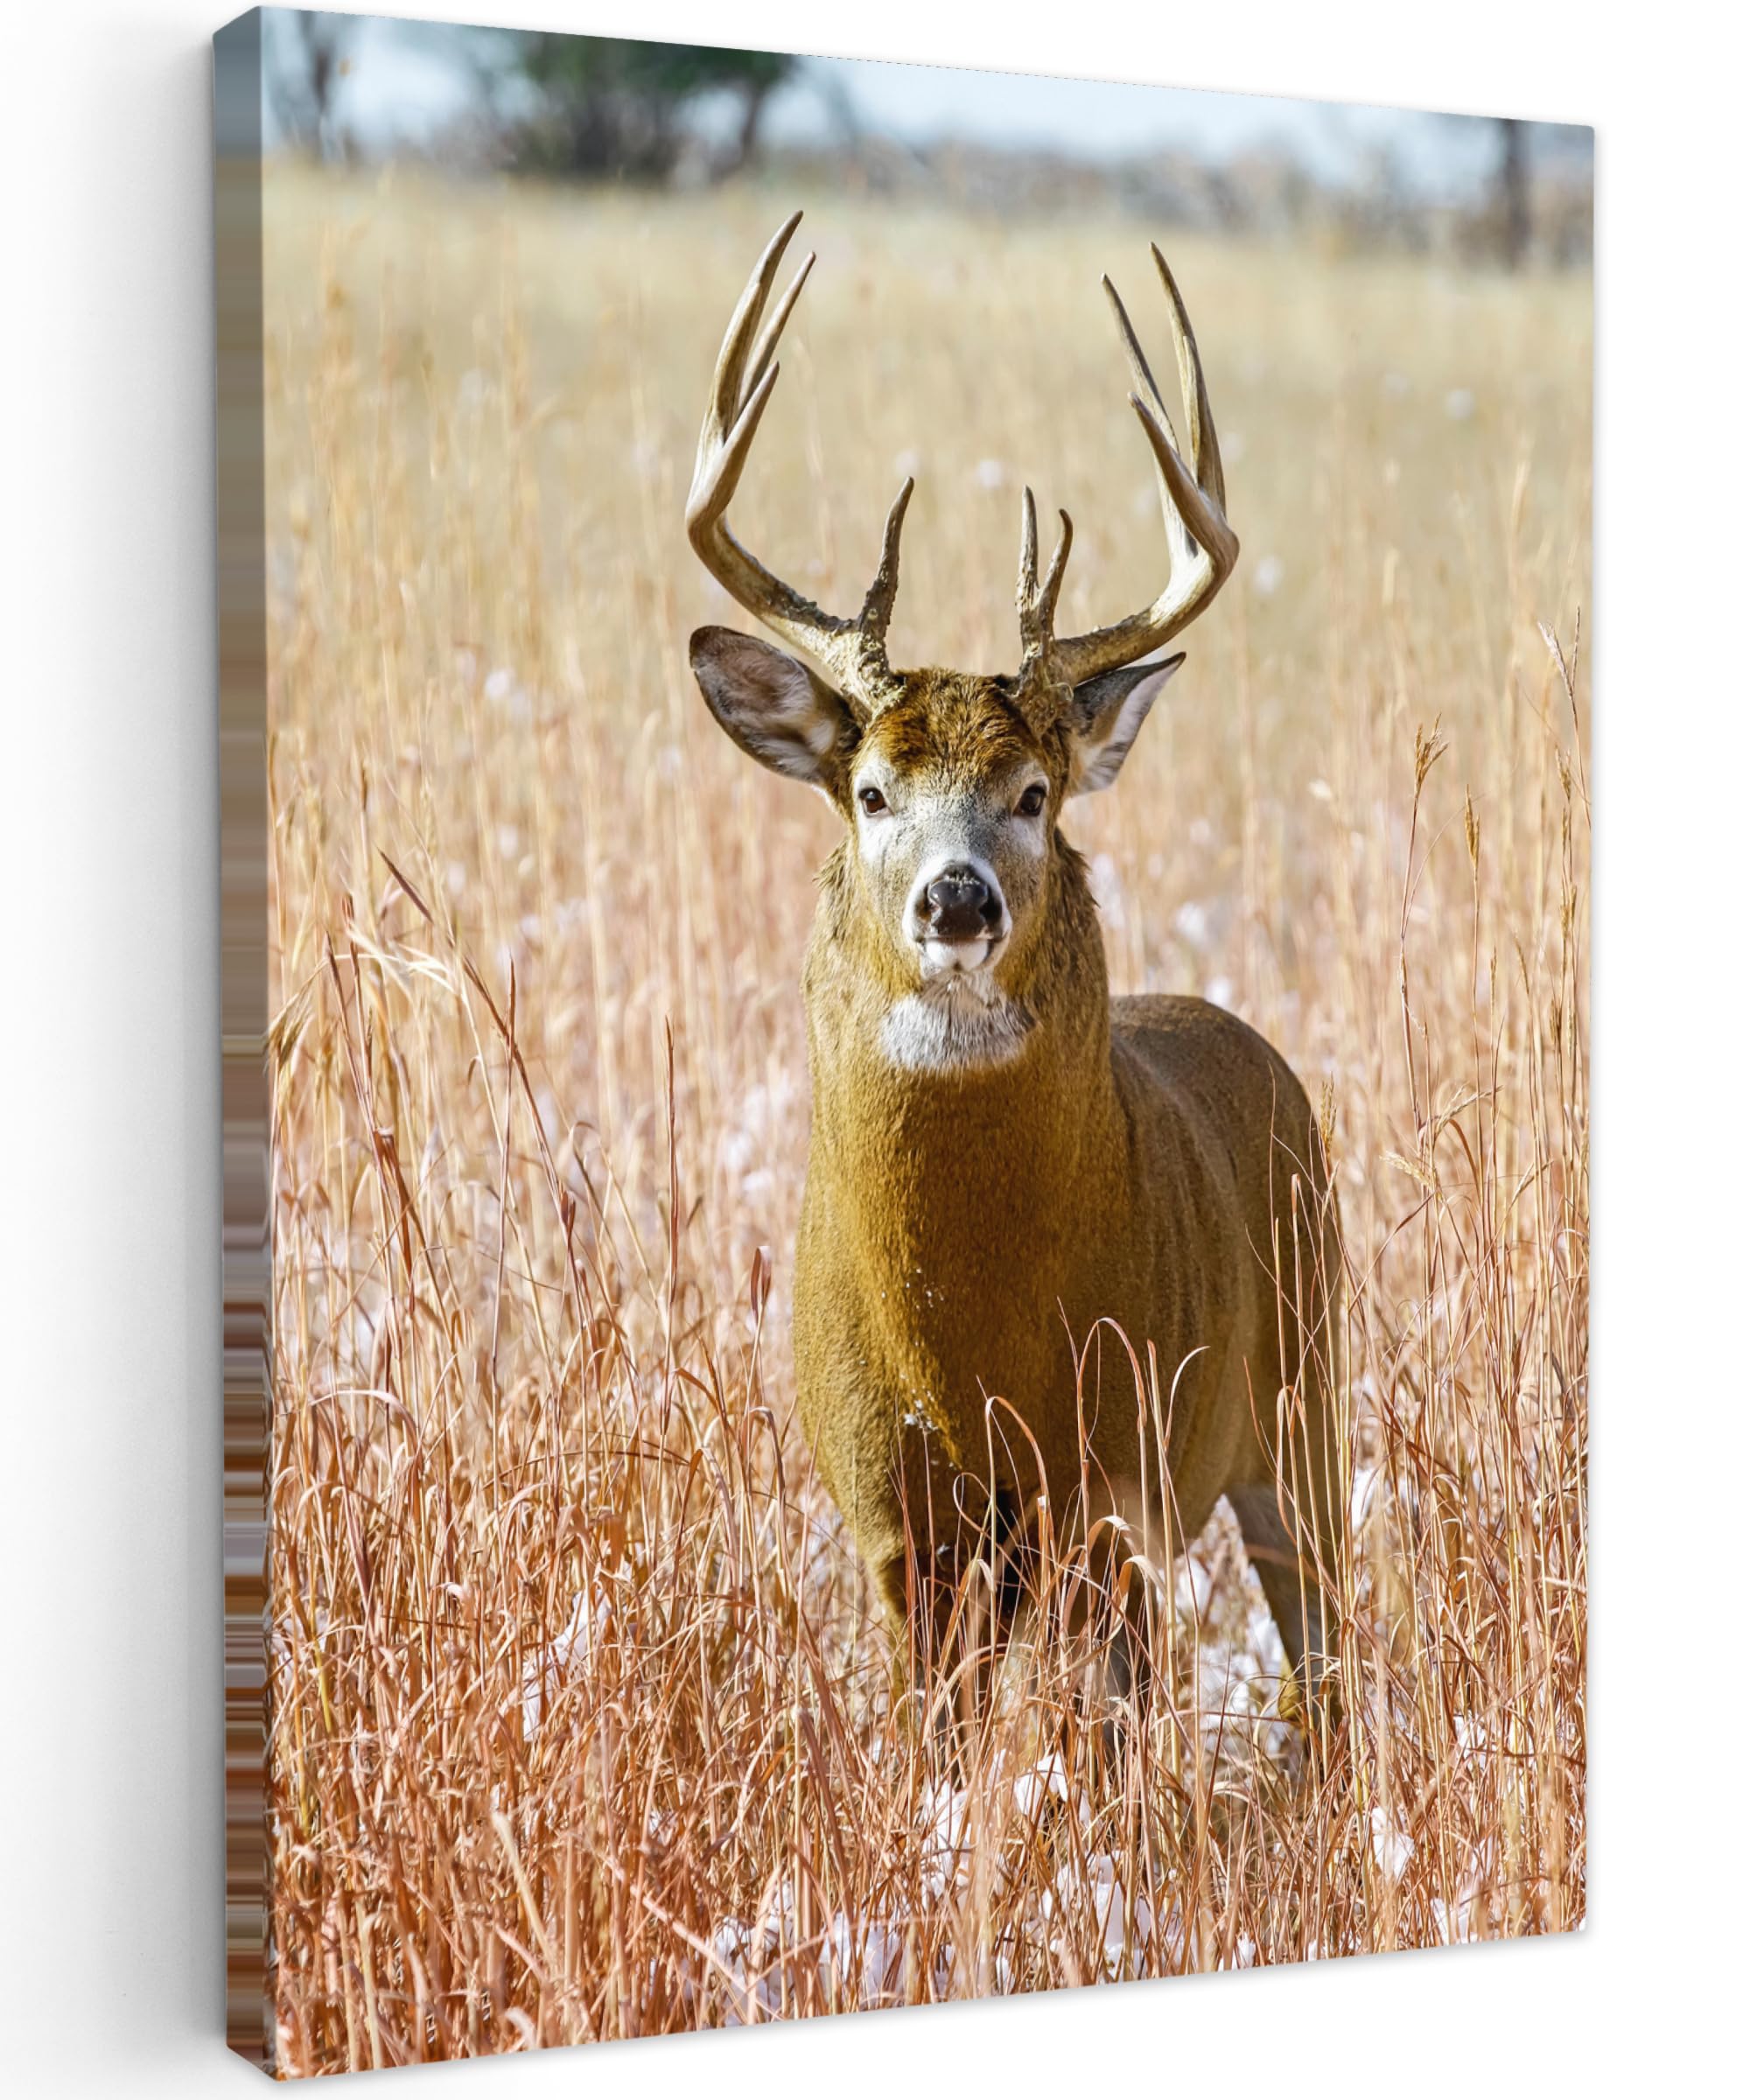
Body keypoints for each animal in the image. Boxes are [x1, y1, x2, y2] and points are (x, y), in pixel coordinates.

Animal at [684, 213, 1344, 1723]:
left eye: (1035, 792)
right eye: (870, 790)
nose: (957, 898)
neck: (971, 1344)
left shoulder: (1111, 1486)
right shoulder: (897, 1525)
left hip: (1300, 1404)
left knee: (1325, 1645)